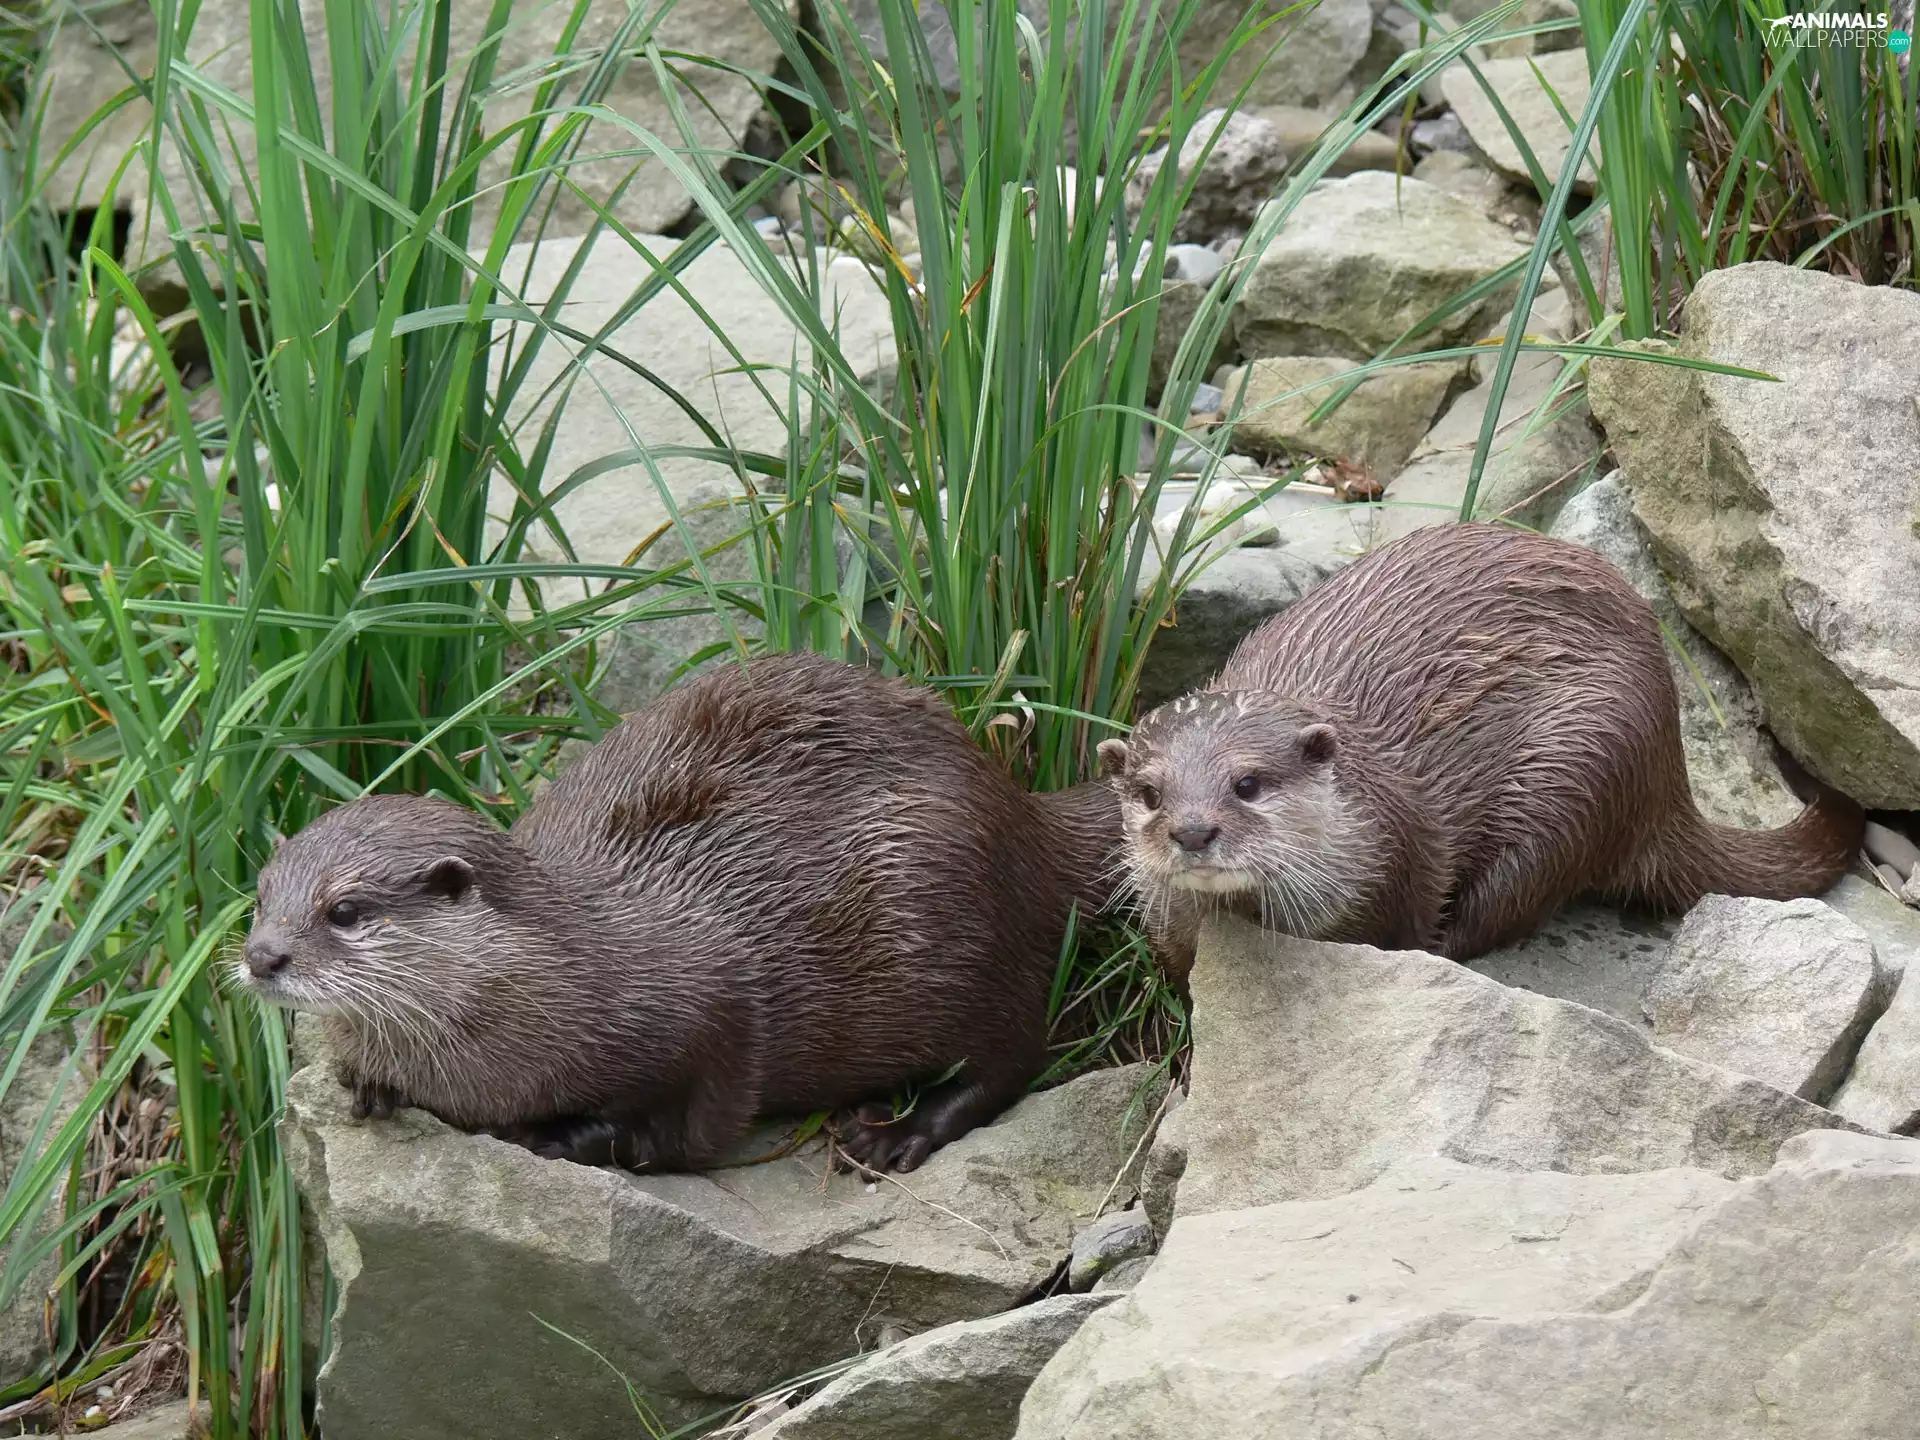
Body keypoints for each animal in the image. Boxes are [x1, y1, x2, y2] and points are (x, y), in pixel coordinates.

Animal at [240, 652, 1120, 1174]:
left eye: (345, 909)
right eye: (260, 894)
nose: (261, 957)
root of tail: (1018, 811)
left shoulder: (710, 1014)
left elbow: (691, 1123)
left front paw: (569, 1135)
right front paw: (370, 1084)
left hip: (953, 912)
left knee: (1016, 1052)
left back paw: (897, 1134)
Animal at [1099, 522, 1863, 975]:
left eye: (1248, 784)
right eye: (1150, 793)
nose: (1193, 831)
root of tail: (1667, 774)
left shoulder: (1400, 869)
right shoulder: (1170, 940)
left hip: (1581, 769)